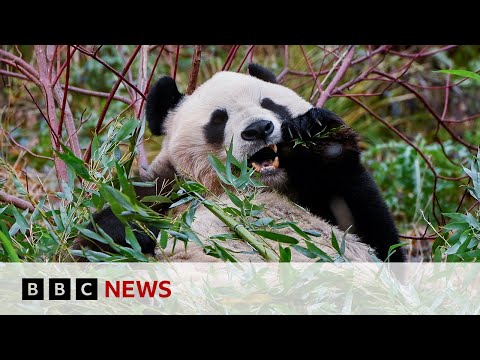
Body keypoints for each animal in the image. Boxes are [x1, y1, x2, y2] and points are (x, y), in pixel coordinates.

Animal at [77, 64, 404, 262]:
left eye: (270, 104)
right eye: (218, 119)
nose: (258, 129)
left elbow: (380, 241)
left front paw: (320, 139)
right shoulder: (166, 190)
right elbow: (94, 241)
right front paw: (130, 228)